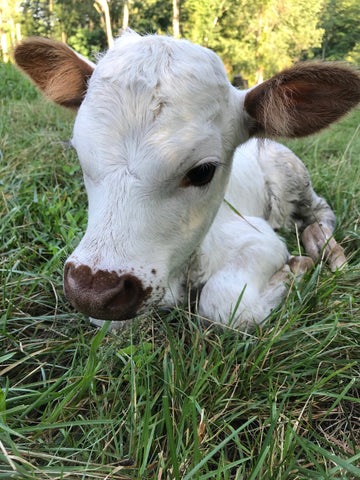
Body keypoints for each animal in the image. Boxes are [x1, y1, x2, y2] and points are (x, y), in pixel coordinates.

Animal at [15, 31, 360, 330]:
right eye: (79, 152)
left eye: (203, 171)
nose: (92, 291)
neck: (182, 275)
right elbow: (110, 324)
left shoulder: (259, 238)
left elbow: (223, 305)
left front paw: (295, 268)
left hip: (292, 174)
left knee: (320, 211)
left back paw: (322, 245)